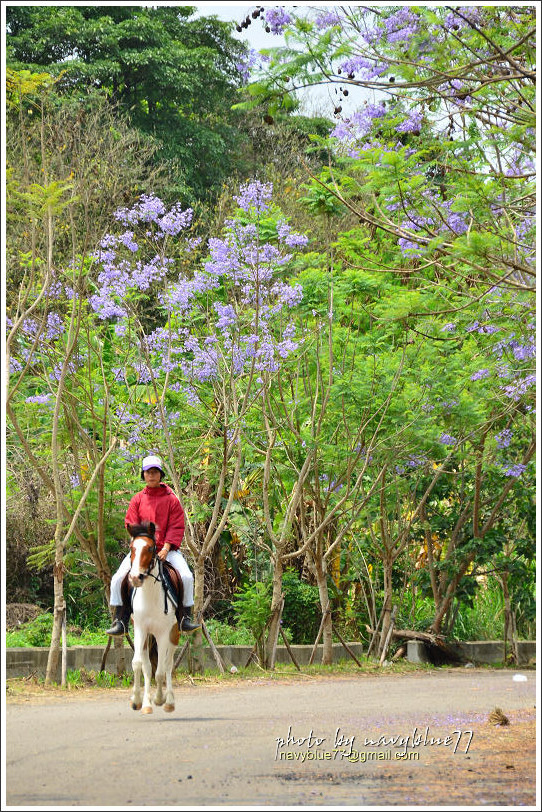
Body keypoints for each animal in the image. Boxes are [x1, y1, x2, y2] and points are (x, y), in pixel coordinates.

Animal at [129, 524, 184, 712]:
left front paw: (160, 699)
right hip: (147, 637)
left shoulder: (163, 633)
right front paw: (137, 700)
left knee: (167, 665)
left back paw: (169, 701)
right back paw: (146, 702)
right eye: (131, 548)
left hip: (174, 635)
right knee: (147, 666)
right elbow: (138, 665)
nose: (135, 577)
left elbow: (160, 671)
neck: (150, 596)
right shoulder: (140, 630)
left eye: (150, 548)